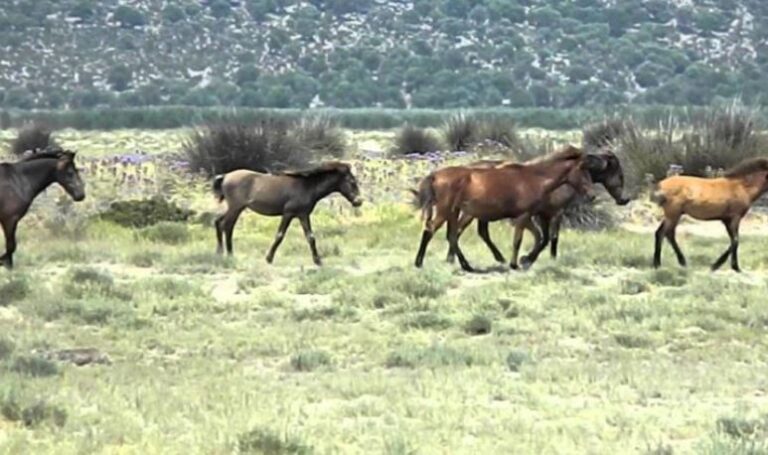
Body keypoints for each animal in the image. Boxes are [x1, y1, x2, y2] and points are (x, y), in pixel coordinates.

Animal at [212, 162, 364, 266]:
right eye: (352, 182)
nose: (359, 201)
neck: (307, 186)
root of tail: (225, 176)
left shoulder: (303, 215)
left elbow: (310, 237)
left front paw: (318, 261)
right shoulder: (288, 214)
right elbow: (280, 235)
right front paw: (268, 258)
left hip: (234, 208)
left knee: (219, 222)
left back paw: (220, 252)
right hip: (236, 208)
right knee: (227, 226)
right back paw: (229, 254)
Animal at [414, 148, 600, 272]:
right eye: (582, 170)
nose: (592, 195)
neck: (534, 179)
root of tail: (435, 175)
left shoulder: (528, 216)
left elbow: (539, 237)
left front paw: (526, 260)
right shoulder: (524, 216)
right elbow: (519, 240)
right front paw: (515, 264)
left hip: (453, 212)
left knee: (452, 236)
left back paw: (467, 266)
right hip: (446, 211)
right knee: (431, 230)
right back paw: (419, 263)